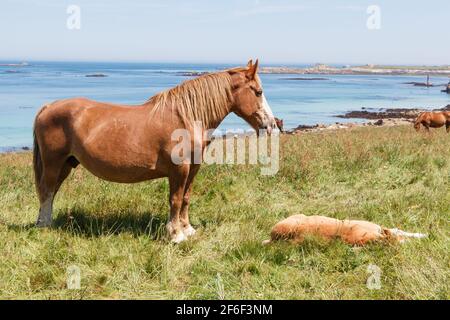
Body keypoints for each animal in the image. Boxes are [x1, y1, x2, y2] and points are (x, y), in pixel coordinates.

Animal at [33, 59, 276, 242]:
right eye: (258, 92)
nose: (271, 124)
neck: (185, 118)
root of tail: (48, 107)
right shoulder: (179, 169)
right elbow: (175, 199)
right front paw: (176, 234)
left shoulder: (193, 168)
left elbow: (186, 197)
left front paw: (187, 229)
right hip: (54, 162)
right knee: (47, 190)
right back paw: (45, 226)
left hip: (66, 164)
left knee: (51, 192)